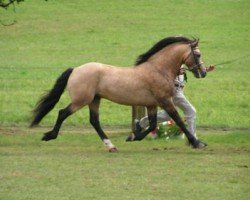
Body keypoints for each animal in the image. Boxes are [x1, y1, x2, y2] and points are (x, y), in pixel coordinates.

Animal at [30, 36, 208, 152]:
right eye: (198, 54)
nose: (204, 72)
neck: (158, 70)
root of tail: (75, 69)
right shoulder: (165, 101)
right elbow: (178, 120)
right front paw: (197, 143)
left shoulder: (152, 104)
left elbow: (152, 124)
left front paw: (133, 136)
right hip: (81, 100)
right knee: (63, 113)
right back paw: (49, 136)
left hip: (94, 100)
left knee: (94, 121)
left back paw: (111, 146)